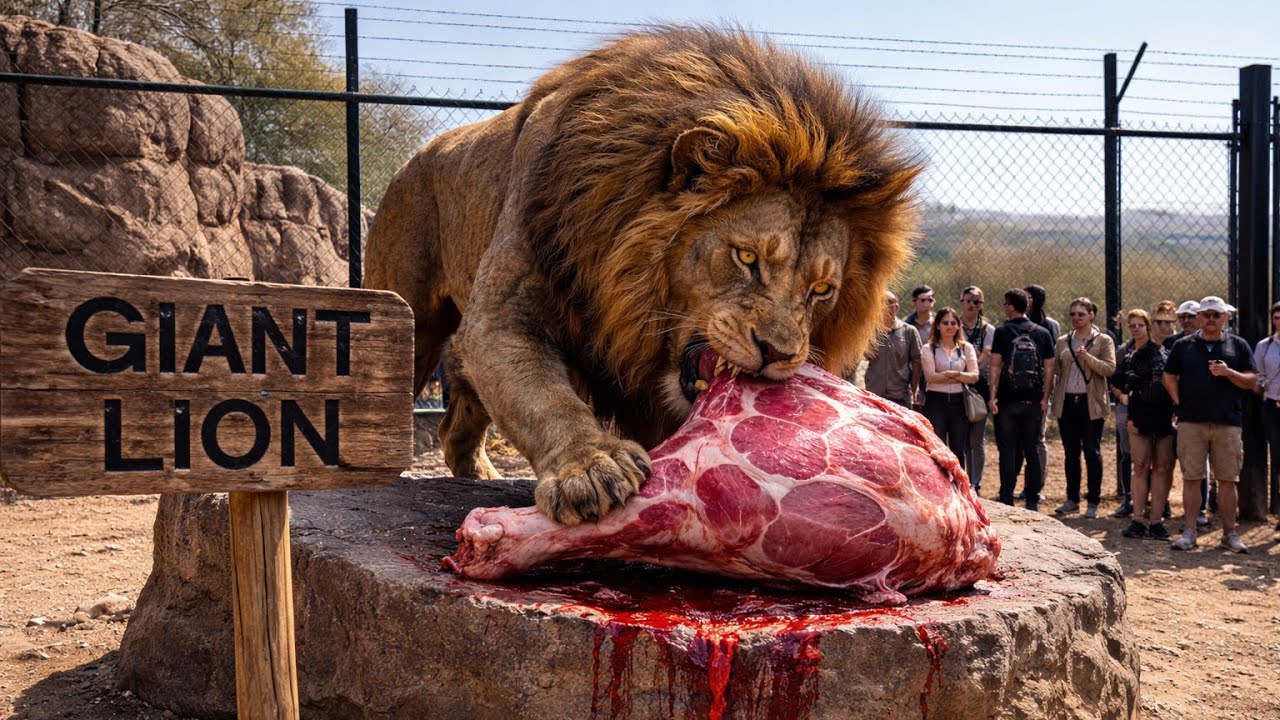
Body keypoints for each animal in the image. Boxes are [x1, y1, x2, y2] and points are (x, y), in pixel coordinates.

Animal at [365, 26, 922, 525]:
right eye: (746, 258)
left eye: (821, 290)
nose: (778, 354)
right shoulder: (504, 315)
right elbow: (547, 400)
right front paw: (591, 466)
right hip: (410, 322)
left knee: (453, 430)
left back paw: (476, 476)